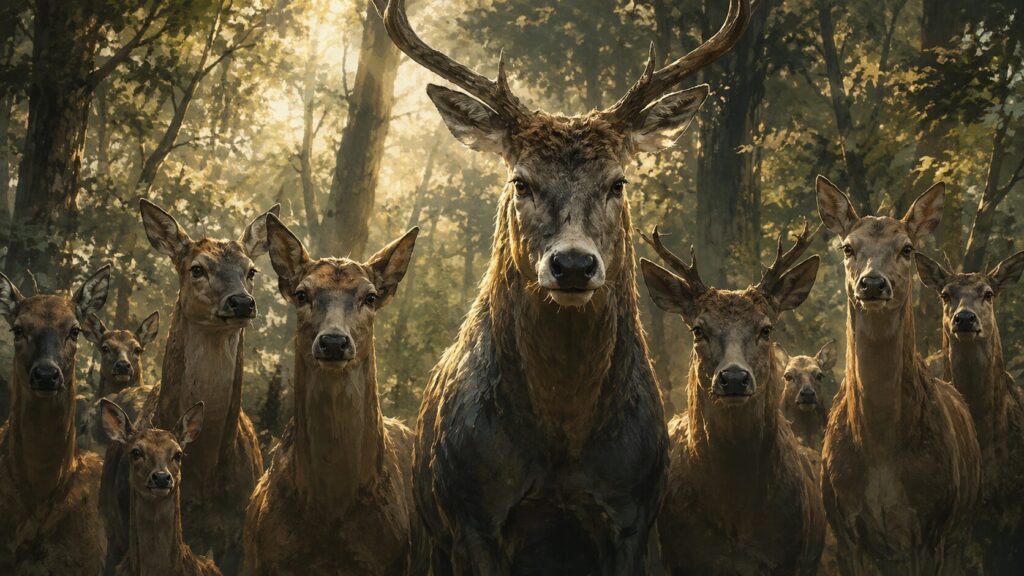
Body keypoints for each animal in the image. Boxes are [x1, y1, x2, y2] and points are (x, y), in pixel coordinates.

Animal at [377, 0, 755, 572]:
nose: (573, 265)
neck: (562, 441)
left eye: (618, 182)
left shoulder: (634, 514)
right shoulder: (471, 514)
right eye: (521, 181)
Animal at [815, 175, 981, 574]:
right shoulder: (844, 530)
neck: (882, 454)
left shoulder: (932, 527)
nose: (873, 283)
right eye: (848, 247)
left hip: (962, 527)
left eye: (906, 248)